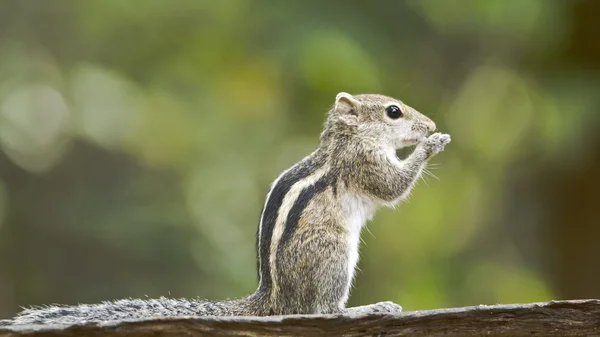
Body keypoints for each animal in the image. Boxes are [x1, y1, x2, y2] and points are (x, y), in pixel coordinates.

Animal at [4, 92, 450, 326]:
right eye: (394, 111)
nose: (429, 125)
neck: (345, 139)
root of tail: (271, 301)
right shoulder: (363, 163)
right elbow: (392, 187)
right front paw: (433, 144)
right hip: (334, 256)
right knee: (321, 311)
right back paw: (368, 307)